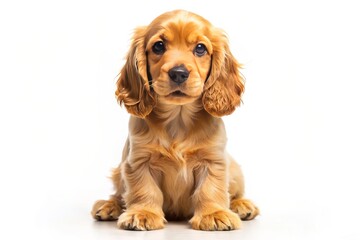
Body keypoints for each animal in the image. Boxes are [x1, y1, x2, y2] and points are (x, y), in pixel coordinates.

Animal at [91, 8, 258, 231]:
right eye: (158, 46)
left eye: (200, 48)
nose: (178, 73)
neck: (178, 119)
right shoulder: (138, 161)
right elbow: (144, 189)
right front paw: (143, 213)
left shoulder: (213, 160)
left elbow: (210, 189)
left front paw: (214, 214)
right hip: (119, 171)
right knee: (119, 193)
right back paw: (110, 206)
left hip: (235, 170)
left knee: (236, 192)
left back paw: (242, 205)